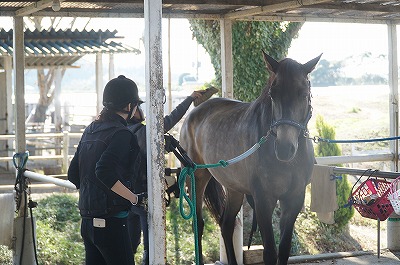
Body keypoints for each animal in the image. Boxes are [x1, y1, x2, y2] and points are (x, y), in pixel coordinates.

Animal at [180, 52, 322, 264]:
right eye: (273, 94)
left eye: (303, 94)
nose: (284, 149)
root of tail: (193, 113)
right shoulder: (263, 200)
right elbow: (270, 252)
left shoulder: (294, 199)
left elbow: (284, 250)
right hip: (196, 177)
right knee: (198, 224)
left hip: (234, 188)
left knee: (226, 225)